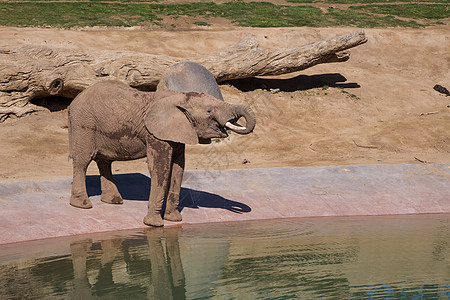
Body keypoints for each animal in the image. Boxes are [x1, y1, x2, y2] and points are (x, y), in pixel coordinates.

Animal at [68, 78, 255, 226]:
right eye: (209, 111)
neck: (180, 97)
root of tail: (74, 101)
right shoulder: (154, 133)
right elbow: (160, 167)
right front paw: (154, 224)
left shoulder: (177, 132)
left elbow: (178, 168)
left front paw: (174, 220)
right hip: (84, 123)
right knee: (82, 161)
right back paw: (82, 204)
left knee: (104, 161)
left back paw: (114, 201)